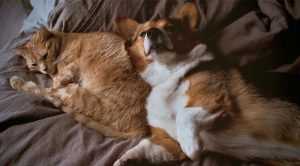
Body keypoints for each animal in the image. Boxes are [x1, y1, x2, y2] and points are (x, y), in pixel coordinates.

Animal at [10, 26, 151, 139]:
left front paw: (57, 79)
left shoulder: (76, 64)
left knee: (46, 92)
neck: (64, 42)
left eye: (45, 55)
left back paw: (17, 82)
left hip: (74, 93)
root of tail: (142, 128)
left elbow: (61, 78)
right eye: (34, 64)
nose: (44, 69)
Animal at [113, 1, 300, 166]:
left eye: (170, 28)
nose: (152, 32)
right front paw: (126, 158)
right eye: (142, 34)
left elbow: (184, 114)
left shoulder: (214, 101)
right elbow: (145, 145)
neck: (167, 74)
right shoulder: (169, 141)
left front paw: (191, 145)